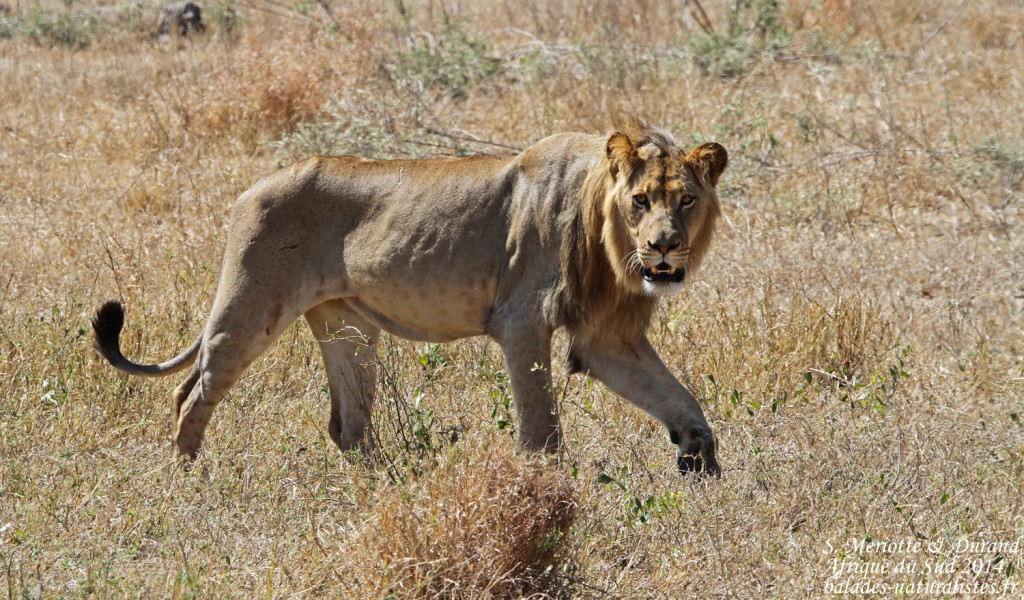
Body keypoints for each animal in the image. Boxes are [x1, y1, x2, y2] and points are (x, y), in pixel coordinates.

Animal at [92, 117, 727, 476]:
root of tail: (252, 187)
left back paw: (380, 490)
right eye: (641, 201)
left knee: (347, 425)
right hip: (249, 307)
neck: (610, 246)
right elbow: (541, 425)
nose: (665, 247)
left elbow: (677, 396)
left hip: (346, 327)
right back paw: (188, 482)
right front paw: (544, 492)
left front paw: (699, 456)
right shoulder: (521, 320)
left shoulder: (604, 336)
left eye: (686, 200)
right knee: (190, 395)